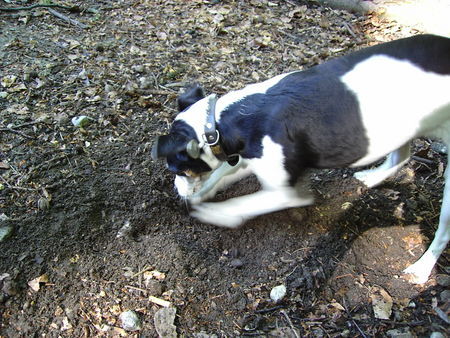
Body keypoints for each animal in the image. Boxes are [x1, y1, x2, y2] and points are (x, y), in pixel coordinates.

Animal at [154, 35, 450, 282]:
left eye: (177, 169)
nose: (176, 189)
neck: (222, 122)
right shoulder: (250, 156)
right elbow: (221, 174)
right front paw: (203, 193)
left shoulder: (284, 193)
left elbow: (240, 203)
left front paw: (215, 212)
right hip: (399, 129)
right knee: (401, 156)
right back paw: (371, 176)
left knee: (443, 231)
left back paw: (421, 269)